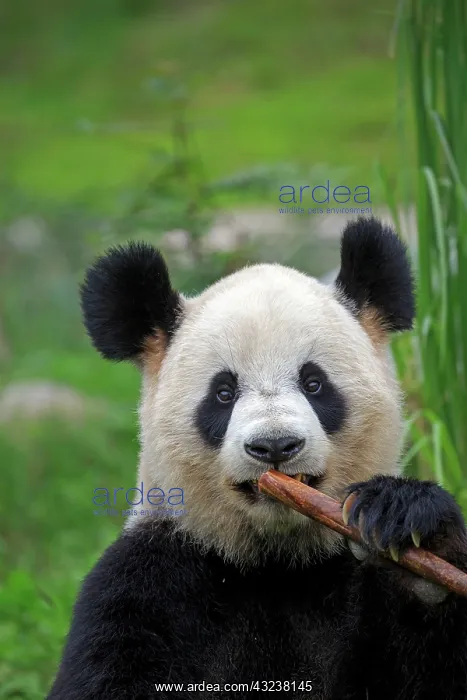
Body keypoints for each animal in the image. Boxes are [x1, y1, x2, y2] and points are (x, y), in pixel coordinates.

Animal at [48, 217, 467, 699]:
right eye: (223, 393)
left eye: (314, 384)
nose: (275, 446)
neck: (275, 565)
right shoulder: (151, 577)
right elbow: (109, 669)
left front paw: (415, 540)